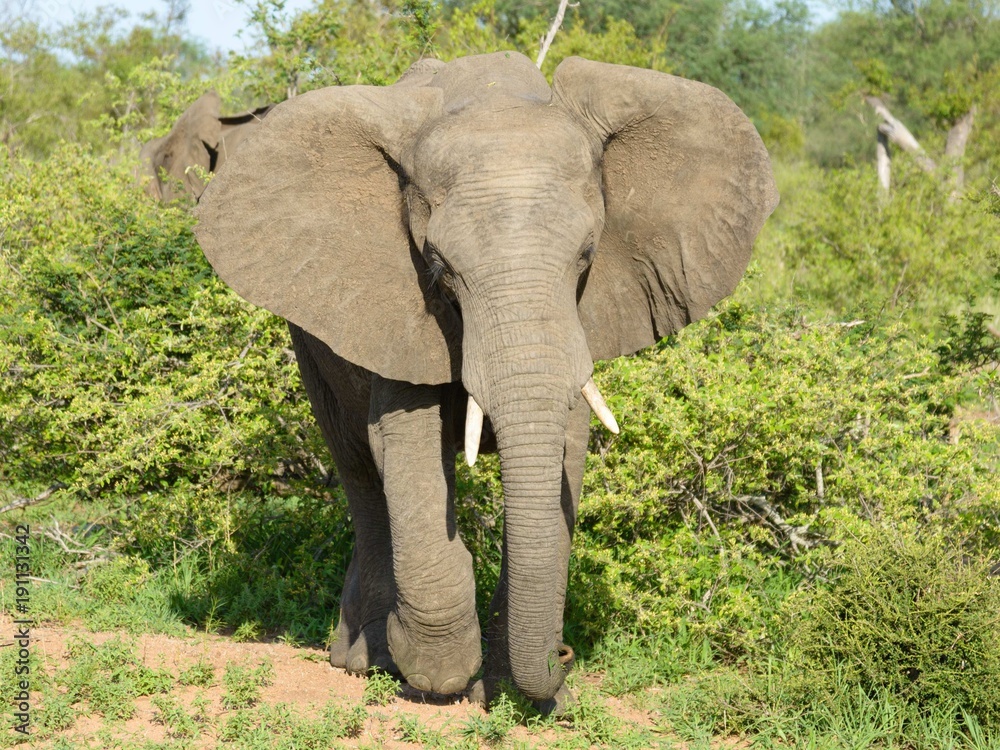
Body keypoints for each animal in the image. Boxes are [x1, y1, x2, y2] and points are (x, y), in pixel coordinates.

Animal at [193, 52, 778, 710]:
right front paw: (436, 672)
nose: (564, 658)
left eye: (587, 254)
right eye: (439, 266)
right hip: (311, 342)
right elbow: (405, 444)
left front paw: (509, 694)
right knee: (357, 469)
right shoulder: (397, 305)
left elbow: (568, 448)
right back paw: (365, 659)